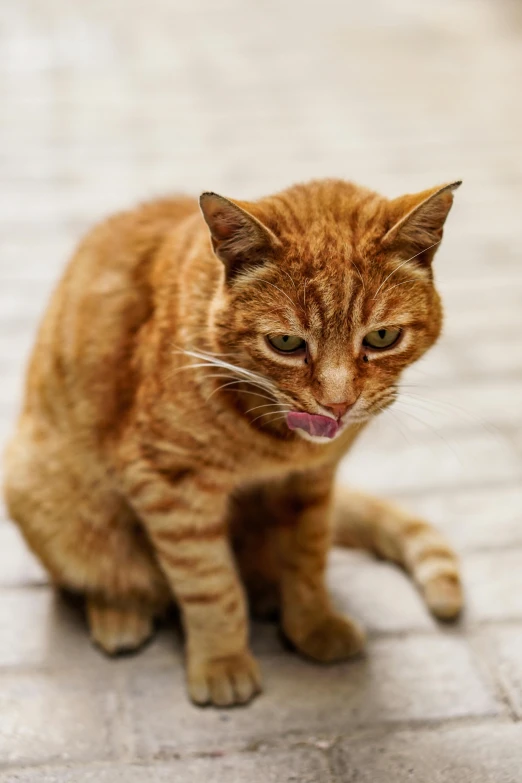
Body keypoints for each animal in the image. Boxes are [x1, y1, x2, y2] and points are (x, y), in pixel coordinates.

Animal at [3, 181, 460, 708]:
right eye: (286, 343)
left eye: (382, 337)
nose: (337, 404)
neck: (278, 441)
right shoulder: (170, 483)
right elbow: (210, 584)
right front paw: (222, 660)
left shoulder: (310, 484)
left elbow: (307, 559)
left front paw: (312, 624)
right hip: (48, 497)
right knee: (101, 576)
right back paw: (121, 615)